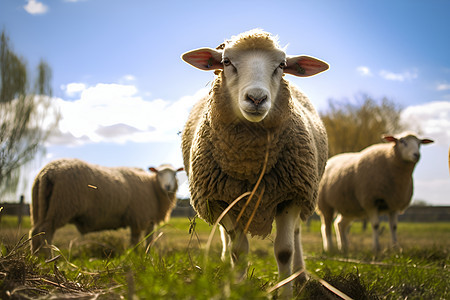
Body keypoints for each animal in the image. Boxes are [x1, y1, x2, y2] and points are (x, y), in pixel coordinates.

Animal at [181, 29, 328, 296]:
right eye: (226, 61)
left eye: (282, 65)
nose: (257, 98)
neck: (250, 165)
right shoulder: (224, 199)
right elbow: (239, 251)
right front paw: (237, 287)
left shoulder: (291, 194)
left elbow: (284, 251)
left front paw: (286, 293)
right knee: (226, 239)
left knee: (296, 234)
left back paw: (300, 275)